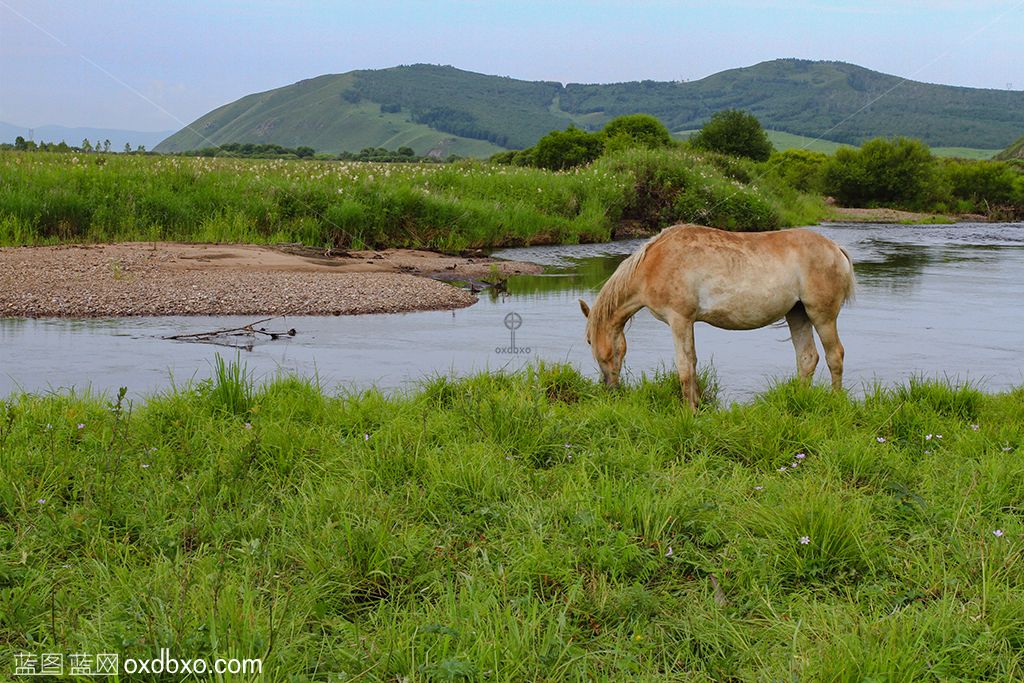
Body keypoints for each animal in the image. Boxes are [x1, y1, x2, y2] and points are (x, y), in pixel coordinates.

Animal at [577, 224, 856, 409]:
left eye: (589, 341)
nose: (609, 387)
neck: (654, 263)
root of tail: (836, 248)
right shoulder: (687, 322)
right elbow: (693, 362)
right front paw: (697, 404)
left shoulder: (679, 320)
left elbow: (684, 367)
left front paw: (688, 412)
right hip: (797, 314)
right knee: (807, 358)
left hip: (821, 316)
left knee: (835, 355)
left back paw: (836, 402)